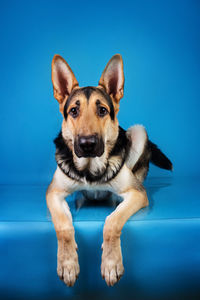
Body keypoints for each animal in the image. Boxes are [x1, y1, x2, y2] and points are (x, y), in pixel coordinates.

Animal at [45, 54, 172, 286]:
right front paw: (67, 263)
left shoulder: (136, 194)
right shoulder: (54, 193)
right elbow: (63, 225)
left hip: (138, 132)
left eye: (102, 110)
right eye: (74, 111)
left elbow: (112, 221)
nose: (87, 144)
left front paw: (111, 263)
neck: (90, 169)